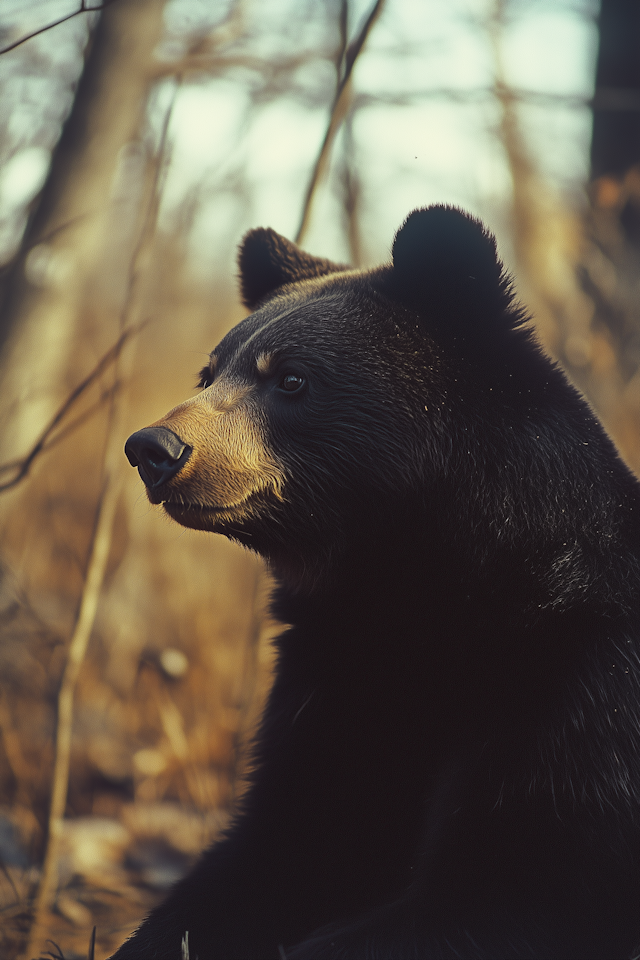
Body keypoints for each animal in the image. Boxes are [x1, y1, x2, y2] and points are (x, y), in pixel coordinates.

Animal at [119, 206, 640, 956]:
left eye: (291, 379)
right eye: (209, 371)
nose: (154, 449)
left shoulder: (576, 691)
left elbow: (518, 882)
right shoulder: (339, 686)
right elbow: (288, 843)